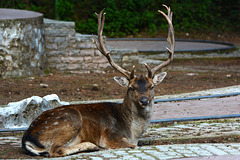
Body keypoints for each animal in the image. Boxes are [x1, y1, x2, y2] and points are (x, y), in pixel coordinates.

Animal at [21, 5, 175, 158]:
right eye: (131, 87)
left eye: (152, 86)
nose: (144, 100)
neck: (133, 132)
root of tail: (27, 138)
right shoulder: (111, 137)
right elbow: (132, 146)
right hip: (69, 120)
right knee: (54, 150)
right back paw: (91, 145)